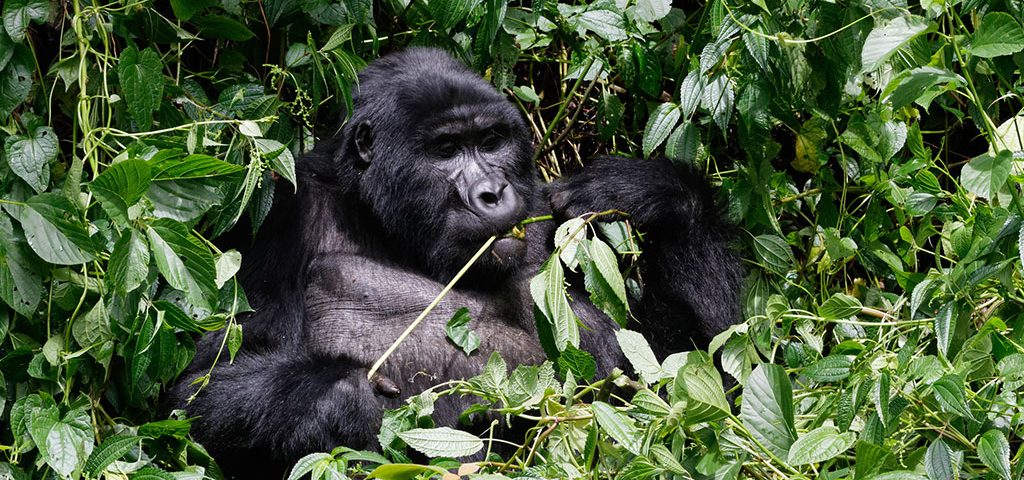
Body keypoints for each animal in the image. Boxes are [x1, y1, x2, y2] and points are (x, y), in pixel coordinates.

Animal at [169, 47, 745, 474]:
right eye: (446, 150)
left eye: (490, 141)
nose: (492, 192)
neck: (382, 220)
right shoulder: (284, 215)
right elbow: (197, 392)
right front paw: (335, 398)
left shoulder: (547, 209)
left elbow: (697, 385)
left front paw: (656, 194)